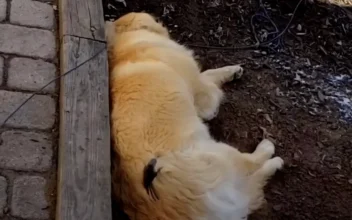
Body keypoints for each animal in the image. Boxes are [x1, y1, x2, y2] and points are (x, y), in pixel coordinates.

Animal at [106, 12, 284, 220]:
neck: (124, 48)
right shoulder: (201, 91)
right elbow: (209, 78)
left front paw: (233, 70)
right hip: (220, 155)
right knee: (250, 167)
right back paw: (271, 155)